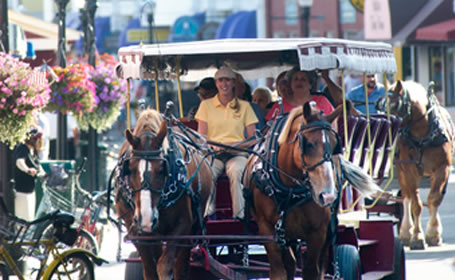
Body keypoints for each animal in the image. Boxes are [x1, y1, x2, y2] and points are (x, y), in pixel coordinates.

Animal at [113, 109, 215, 280]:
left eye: (162, 169)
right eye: (130, 168)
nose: (146, 219)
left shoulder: (183, 226)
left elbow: (165, 266)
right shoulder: (138, 232)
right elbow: (150, 269)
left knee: (180, 265)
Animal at [244, 103, 382, 280]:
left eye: (335, 145)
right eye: (308, 144)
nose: (327, 196)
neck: (290, 191)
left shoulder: (318, 232)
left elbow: (312, 271)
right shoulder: (267, 230)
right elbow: (279, 271)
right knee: (291, 264)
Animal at [378, 80, 455, 249]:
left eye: (395, 105)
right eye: (382, 105)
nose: (385, 131)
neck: (422, 136)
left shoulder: (443, 168)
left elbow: (434, 199)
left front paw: (433, 234)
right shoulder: (409, 171)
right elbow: (416, 204)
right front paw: (417, 237)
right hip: (401, 171)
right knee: (406, 197)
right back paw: (406, 232)